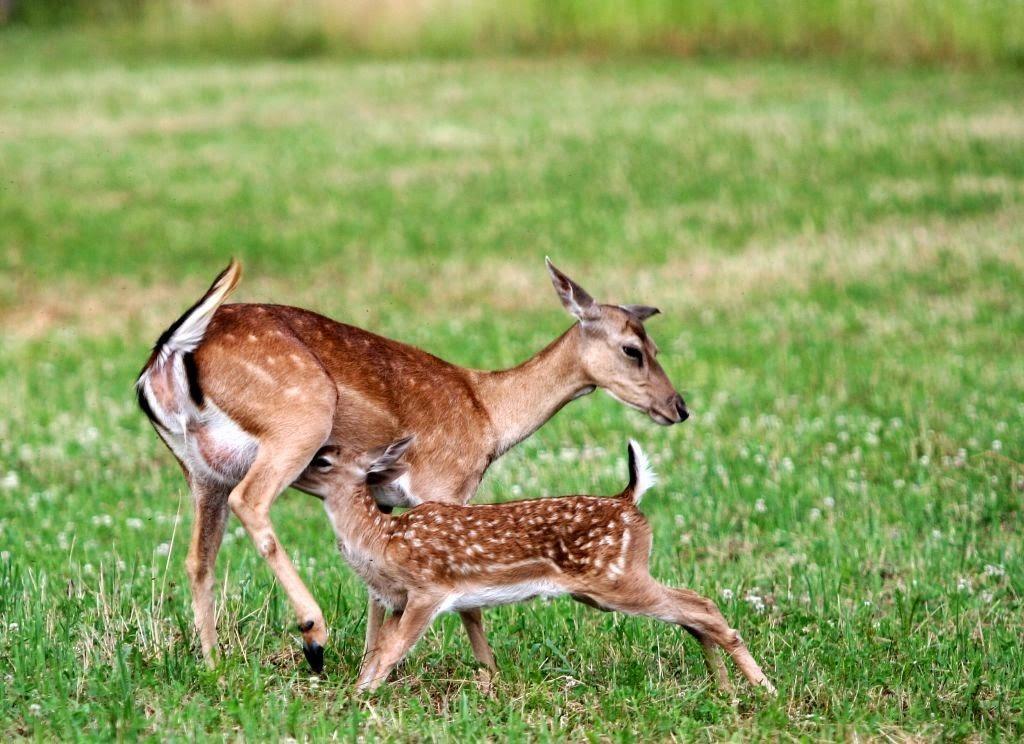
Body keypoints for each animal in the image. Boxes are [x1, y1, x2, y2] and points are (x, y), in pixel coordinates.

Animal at [136, 255, 688, 675]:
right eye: (632, 350)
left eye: (656, 344)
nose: (678, 406)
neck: (489, 415)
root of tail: (168, 354)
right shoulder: (445, 484)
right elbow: (463, 588)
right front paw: (489, 674)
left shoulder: (382, 499)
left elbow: (378, 589)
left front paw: (372, 662)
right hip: (298, 422)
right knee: (250, 502)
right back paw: (313, 635)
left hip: (199, 467)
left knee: (198, 558)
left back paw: (215, 665)